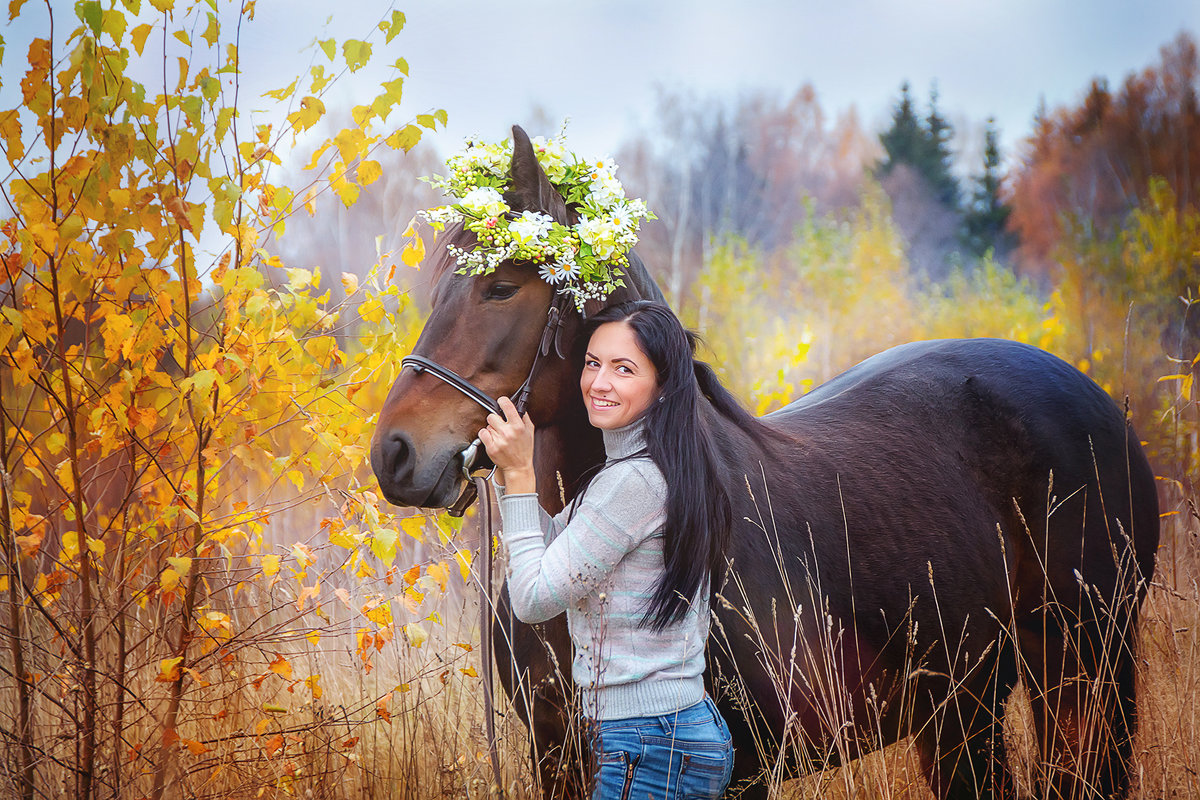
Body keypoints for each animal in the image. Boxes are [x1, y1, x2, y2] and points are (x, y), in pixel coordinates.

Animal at [369, 126, 1156, 800]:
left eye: (501, 287)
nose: (393, 453)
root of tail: (1095, 399)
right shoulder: (557, 759)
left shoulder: (739, 767)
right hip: (966, 707)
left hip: (1089, 671)